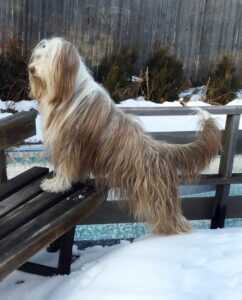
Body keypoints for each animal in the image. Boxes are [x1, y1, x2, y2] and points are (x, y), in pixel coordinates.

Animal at [27, 37, 222, 234]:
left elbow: (64, 169)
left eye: (47, 58)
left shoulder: (69, 144)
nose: (31, 69)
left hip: (155, 198)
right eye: (38, 56)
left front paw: (54, 186)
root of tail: (161, 150)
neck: (67, 90)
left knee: (175, 222)